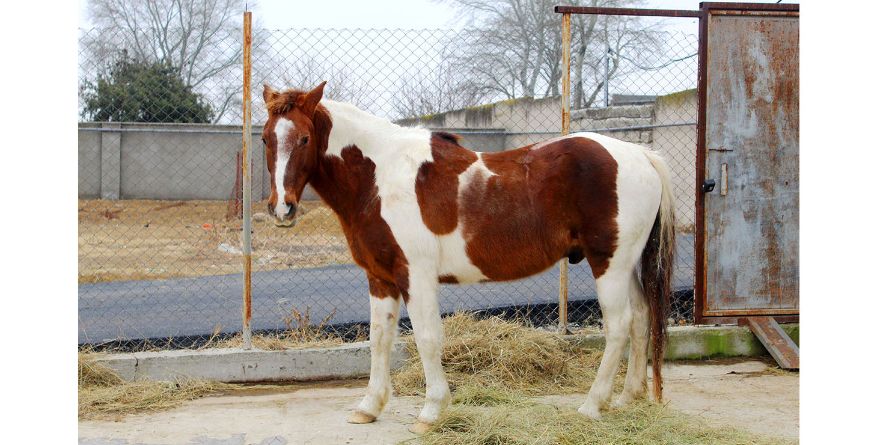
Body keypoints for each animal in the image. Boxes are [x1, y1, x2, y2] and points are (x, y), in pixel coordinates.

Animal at [260, 81, 676, 432]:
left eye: (304, 138)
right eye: (265, 138)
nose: (283, 208)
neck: (381, 178)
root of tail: (640, 155)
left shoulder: (416, 277)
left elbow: (427, 338)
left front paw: (431, 412)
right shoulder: (380, 278)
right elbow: (380, 338)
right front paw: (369, 407)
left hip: (609, 264)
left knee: (619, 325)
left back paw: (591, 405)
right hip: (627, 265)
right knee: (642, 317)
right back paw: (626, 398)